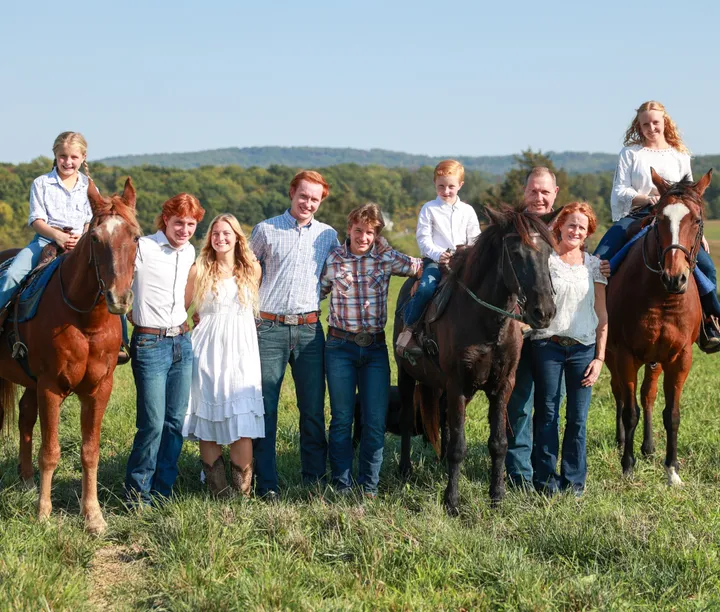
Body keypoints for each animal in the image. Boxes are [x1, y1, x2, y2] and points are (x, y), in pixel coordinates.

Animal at [0, 179, 139, 532]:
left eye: (135, 236)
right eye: (96, 238)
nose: (119, 298)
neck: (84, 321)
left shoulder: (99, 390)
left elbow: (90, 452)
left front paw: (93, 516)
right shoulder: (51, 387)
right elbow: (50, 451)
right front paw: (43, 514)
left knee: (25, 417)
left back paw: (26, 481)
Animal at [394, 208, 556, 512]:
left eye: (549, 252)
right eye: (515, 253)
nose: (544, 312)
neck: (487, 322)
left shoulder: (502, 385)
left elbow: (499, 443)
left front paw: (497, 496)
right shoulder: (458, 385)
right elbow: (459, 447)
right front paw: (452, 501)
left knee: (443, 419)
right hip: (407, 376)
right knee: (408, 420)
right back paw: (405, 469)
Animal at [608, 167, 716, 482]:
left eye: (697, 220)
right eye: (659, 219)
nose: (675, 277)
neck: (662, 297)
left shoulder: (680, 358)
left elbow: (672, 414)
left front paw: (672, 470)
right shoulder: (625, 355)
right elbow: (629, 410)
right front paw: (627, 466)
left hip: (654, 360)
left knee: (648, 395)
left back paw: (648, 447)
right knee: (620, 394)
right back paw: (623, 442)